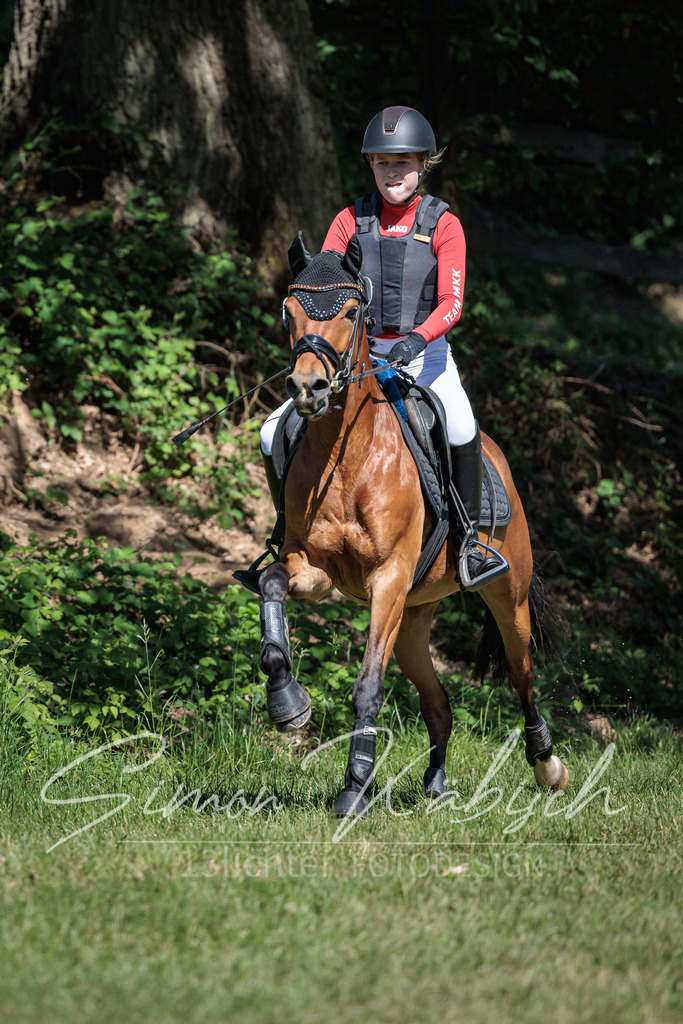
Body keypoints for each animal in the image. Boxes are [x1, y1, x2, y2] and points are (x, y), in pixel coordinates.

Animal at [251, 235, 569, 817]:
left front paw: (354, 788)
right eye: (289, 312)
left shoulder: (388, 580)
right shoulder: (314, 568)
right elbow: (271, 585)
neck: (347, 453)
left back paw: (547, 765)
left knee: (522, 674)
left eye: (350, 312)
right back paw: (437, 785)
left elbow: (368, 686)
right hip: (415, 617)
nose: (308, 389)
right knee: (438, 702)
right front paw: (287, 701)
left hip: (506, 597)